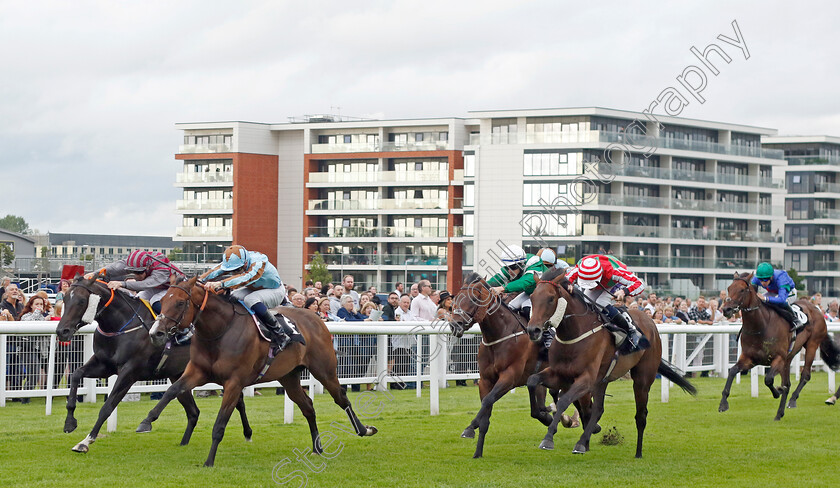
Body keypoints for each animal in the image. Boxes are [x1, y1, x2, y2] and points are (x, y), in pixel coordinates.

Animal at [56, 276, 249, 452]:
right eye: (65, 299)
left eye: (81, 300)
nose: (61, 331)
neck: (121, 325)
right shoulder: (104, 364)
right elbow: (76, 374)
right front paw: (69, 422)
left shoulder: (129, 372)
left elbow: (107, 406)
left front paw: (85, 441)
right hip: (179, 375)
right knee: (193, 412)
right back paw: (183, 443)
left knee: (238, 400)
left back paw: (248, 434)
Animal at [144, 276, 378, 468]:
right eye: (162, 301)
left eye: (180, 302)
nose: (156, 333)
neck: (220, 331)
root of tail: (316, 318)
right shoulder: (197, 372)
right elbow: (172, 391)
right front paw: (146, 421)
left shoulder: (234, 382)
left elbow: (220, 423)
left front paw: (209, 461)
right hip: (289, 376)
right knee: (308, 406)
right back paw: (317, 447)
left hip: (324, 370)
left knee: (341, 398)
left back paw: (363, 429)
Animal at [450, 272, 580, 460]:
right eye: (456, 298)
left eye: (474, 298)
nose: (455, 324)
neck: (500, 335)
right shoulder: (485, 380)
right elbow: (486, 411)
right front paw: (478, 451)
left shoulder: (509, 377)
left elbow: (487, 401)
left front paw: (469, 428)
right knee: (549, 400)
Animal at [524, 266, 696, 458]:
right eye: (532, 297)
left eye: (551, 298)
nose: (533, 330)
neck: (574, 334)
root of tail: (650, 322)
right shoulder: (560, 374)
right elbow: (532, 381)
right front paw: (542, 415)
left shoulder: (586, 379)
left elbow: (563, 401)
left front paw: (548, 438)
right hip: (602, 380)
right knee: (598, 409)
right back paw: (582, 443)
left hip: (642, 379)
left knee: (640, 415)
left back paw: (638, 452)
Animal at [716, 270, 840, 420]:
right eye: (729, 288)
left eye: (742, 290)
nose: (726, 309)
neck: (760, 326)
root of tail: (816, 308)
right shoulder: (750, 359)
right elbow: (733, 371)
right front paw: (723, 404)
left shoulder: (778, 358)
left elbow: (768, 380)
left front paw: (777, 392)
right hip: (789, 357)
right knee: (787, 383)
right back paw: (779, 413)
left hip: (811, 345)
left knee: (805, 375)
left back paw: (792, 400)